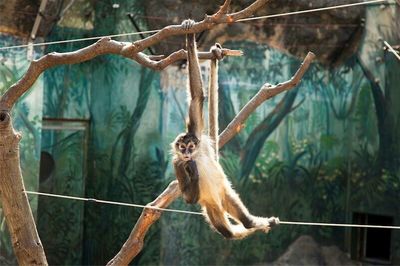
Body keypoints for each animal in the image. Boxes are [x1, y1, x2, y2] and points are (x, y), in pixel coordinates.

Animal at [172, 18, 278, 239]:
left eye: (191, 147)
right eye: (182, 148)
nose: (187, 154)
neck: (195, 155)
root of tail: (219, 204)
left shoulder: (196, 135)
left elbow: (197, 96)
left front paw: (190, 35)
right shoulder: (176, 163)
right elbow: (188, 198)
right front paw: (192, 170)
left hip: (225, 194)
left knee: (245, 221)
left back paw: (256, 222)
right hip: (211, 207)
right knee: (229, 232)